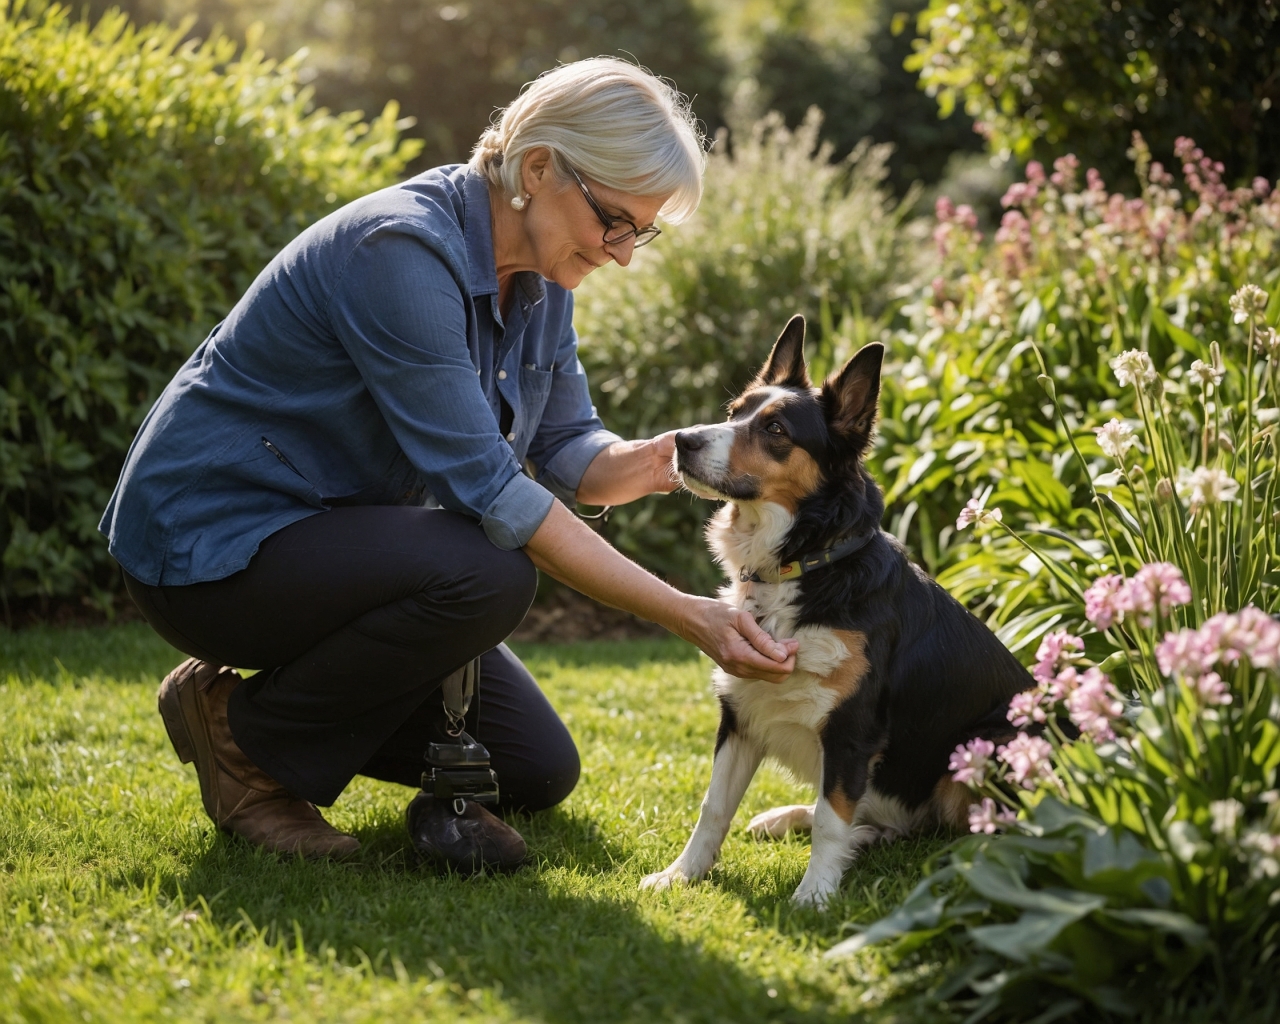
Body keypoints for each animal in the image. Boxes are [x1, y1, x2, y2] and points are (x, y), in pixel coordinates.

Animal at [640, 317, 1029, 906]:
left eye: (776, 429)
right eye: (734, 412)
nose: (682, 441)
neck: (804, 565)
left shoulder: (850, 730)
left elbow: (830, 819)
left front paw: (814, 896)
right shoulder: (742, 711)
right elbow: (714, 807)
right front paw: (681, 874)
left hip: (995, 742)